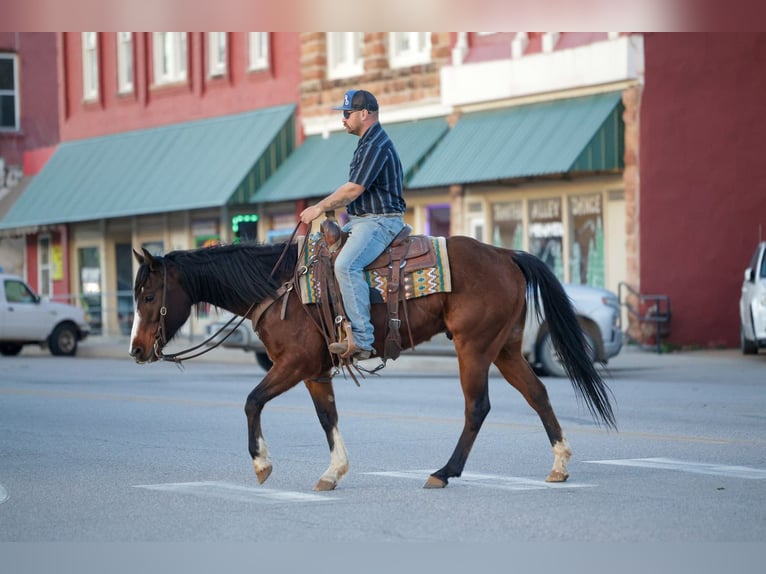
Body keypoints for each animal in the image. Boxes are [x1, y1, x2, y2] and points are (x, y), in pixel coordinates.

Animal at [129, 234, 616, 491]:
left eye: (149, 296)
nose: (135, 349)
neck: (278, 287)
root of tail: (505, 254)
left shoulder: (293, 363)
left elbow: (252, 401)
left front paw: (262, 464)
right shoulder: (315, 370)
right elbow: (328, 418)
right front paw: (333, 471)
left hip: (474, 348)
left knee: (477, 408)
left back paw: (444, 472)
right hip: (506, 348)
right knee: (538, 394)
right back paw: (559, 464)